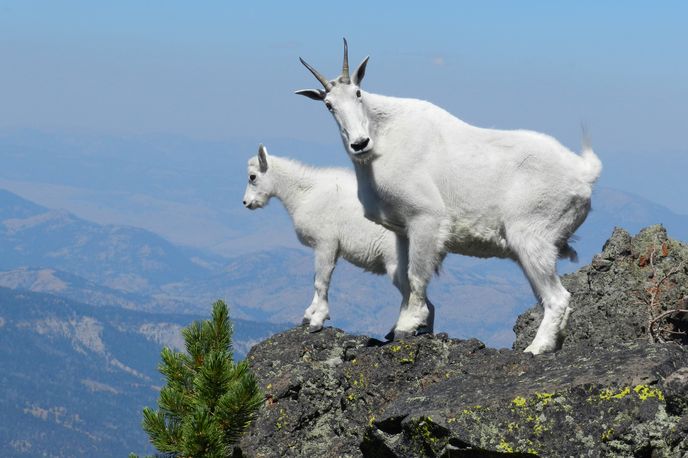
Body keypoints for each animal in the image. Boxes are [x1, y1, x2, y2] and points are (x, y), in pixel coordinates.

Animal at [243, 144, 415, 333]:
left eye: (252, 176)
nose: (246, 202)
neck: (303, 194)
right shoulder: (329, 249)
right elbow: (317, 279)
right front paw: (309, 314)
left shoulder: (325, 244)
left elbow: (321, 282)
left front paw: (317, 320)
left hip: (395, 263)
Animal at [296, 39, 602, 354]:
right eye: (329, 105)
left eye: (358, 93)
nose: (359, 143)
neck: (383, 140)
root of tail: (583, 173)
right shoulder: (402, 229)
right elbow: (404, 275)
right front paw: (401, 325)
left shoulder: (425, 218)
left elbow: (417, 274)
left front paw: (409, 324)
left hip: (531, 236)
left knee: (558, 298)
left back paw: (536, 348)